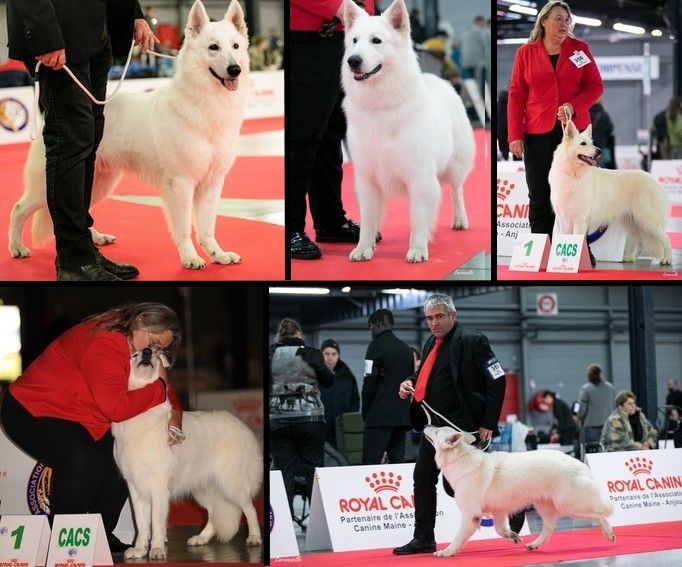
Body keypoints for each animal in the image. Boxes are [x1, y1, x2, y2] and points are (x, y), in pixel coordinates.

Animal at [8, 0, 250, 270]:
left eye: (235, 46)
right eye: (213, 48)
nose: (235, 70)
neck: (205, 104)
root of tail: (46, 116)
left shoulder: (212, 183)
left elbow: (208, 228)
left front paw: (218, 254)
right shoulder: (180, 183)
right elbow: (184, 227)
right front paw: (190, 257)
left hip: (96, 183)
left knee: (80, 213)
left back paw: (97, 240)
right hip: (45, 188)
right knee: (18, 209)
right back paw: (16, 248)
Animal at [110, 348, 262, 560]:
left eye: (154, 353)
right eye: (134, 355)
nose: (147, 352)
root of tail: (242, 426)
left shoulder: (158, 487)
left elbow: (156, 523)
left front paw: (157, 549)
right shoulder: (136, 489)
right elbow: (141, 525)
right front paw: (139, 550)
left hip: (231, 483)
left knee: (250, 508)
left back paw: (254, 537)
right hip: (202, 488)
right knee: (214, 513)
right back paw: (201, 538)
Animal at [340, 0, 472, 264]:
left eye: (376, 41)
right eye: (354, 41)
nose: (353, 60)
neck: (381, 105)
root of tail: (440, 80)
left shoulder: (419, 176)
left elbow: (418, 216)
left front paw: (418, 249)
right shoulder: (367, 179)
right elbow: (368, 220)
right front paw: (363, 248)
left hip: (455, 165)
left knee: (457, 191)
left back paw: (460, 220)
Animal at [422, 428, 612, 556]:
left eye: (437, 430)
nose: (426, 424)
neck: (460, 459)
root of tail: (578, 463)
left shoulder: (470, 515)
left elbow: (458, 536)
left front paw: (447, 551)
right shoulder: (498, 512)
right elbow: (500, 529)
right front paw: (512, 536)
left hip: (568, 504)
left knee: (598, 513)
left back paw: (609, 533)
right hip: (545, 506)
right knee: (549, 528)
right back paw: (535, 544)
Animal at [544, 120, 672, 266]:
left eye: (591, 143)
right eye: (583, 143)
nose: (599, 151)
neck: (572, 174)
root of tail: (653, 180)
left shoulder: (580, 219)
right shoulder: (563, 219)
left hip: (648, 220)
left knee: (666, 238)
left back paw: (667, 259)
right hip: (634, 222)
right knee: (640, 242)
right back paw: (631, 258)